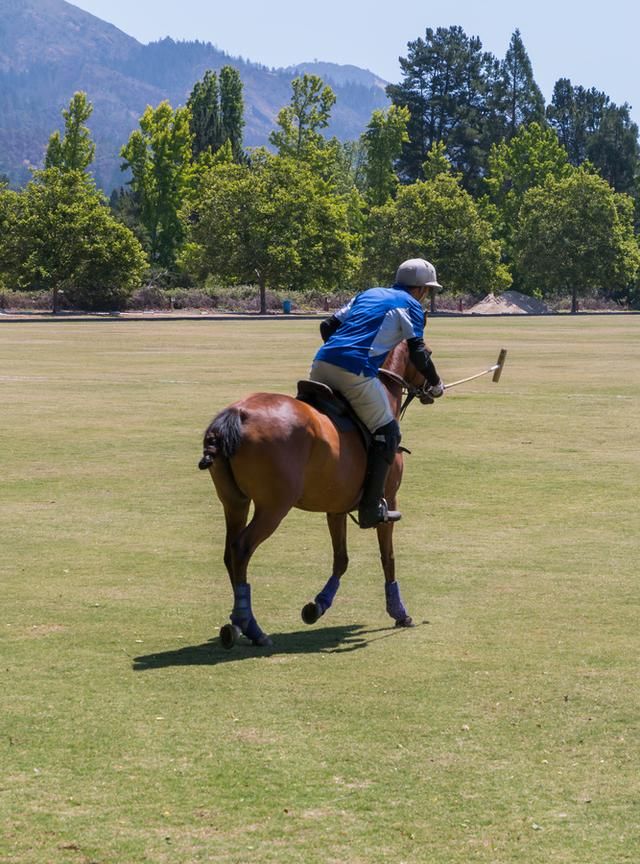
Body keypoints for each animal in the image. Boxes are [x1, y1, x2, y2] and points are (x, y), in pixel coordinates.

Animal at [200, 338, 430, 648]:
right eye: (427, 353)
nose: (437, 385)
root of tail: (238, 414)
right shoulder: (388, 499)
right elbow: (388, 557)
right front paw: (399, 612)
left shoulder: (336, 505)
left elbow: (341, 559)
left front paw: (317, 606)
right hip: (273, 506)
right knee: (241, 548)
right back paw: (250, 626)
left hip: (234, 501)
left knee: (229, 552)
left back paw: (238, 624)